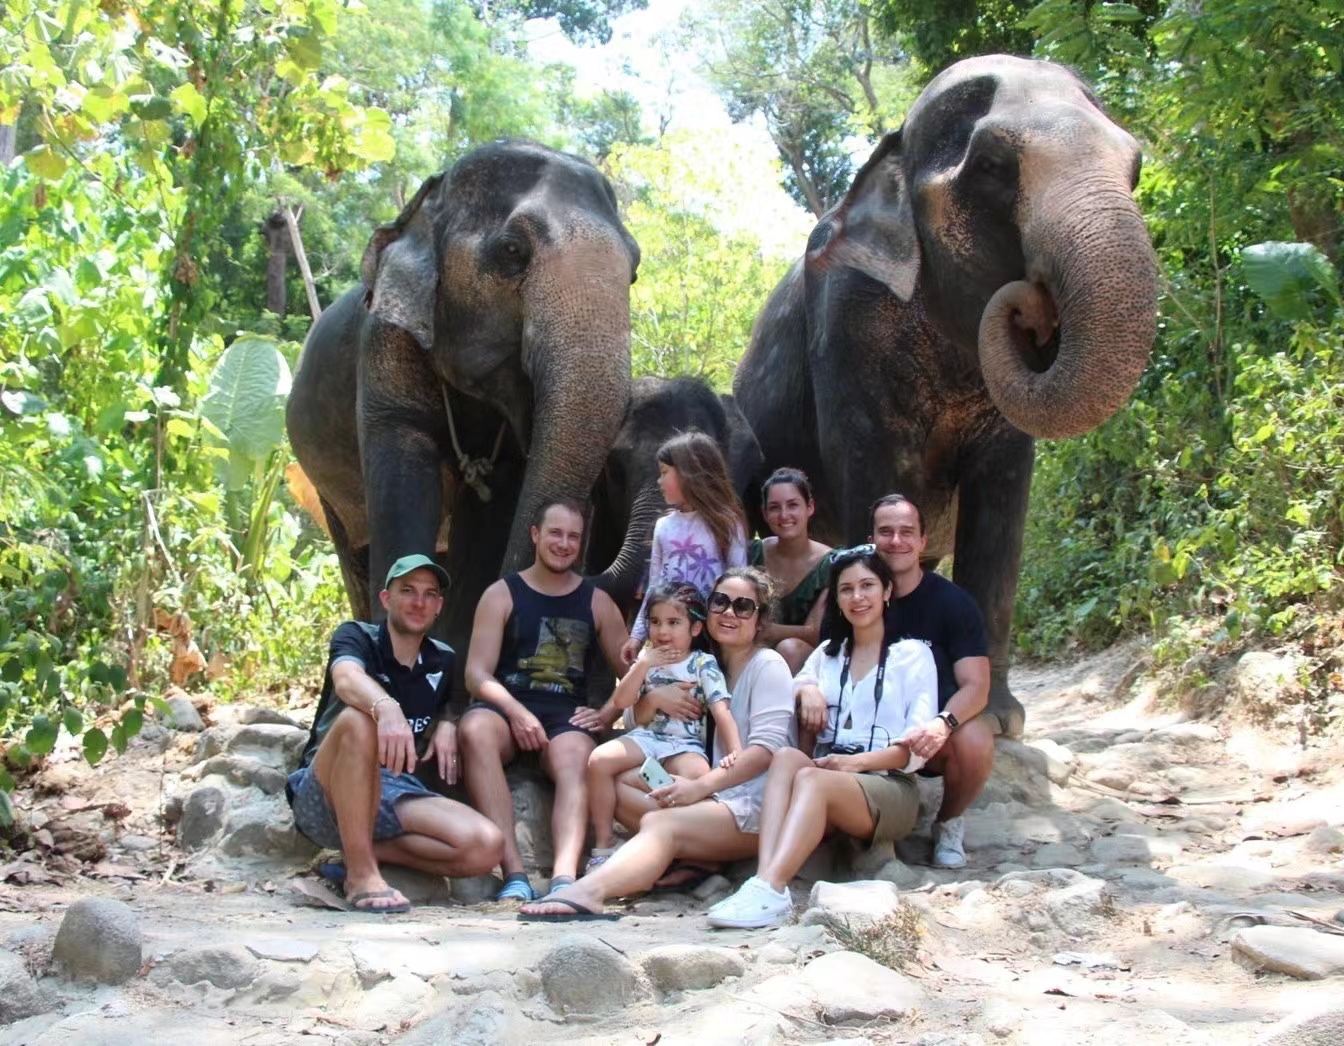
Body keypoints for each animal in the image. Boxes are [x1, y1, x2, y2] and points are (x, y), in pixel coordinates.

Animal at [286, 140, 641, 693]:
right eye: (512, 251)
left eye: (636, 269)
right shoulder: (386, 341)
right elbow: (406, 471)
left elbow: (495, 507)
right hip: (319, 484)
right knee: (355, 549)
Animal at [733, 55, 1158, 737]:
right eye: (990, 166)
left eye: (1137, 165)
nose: (1028, 300)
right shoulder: (848, 328)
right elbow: (879, 473)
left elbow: (1003, 500)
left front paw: (997, 720)